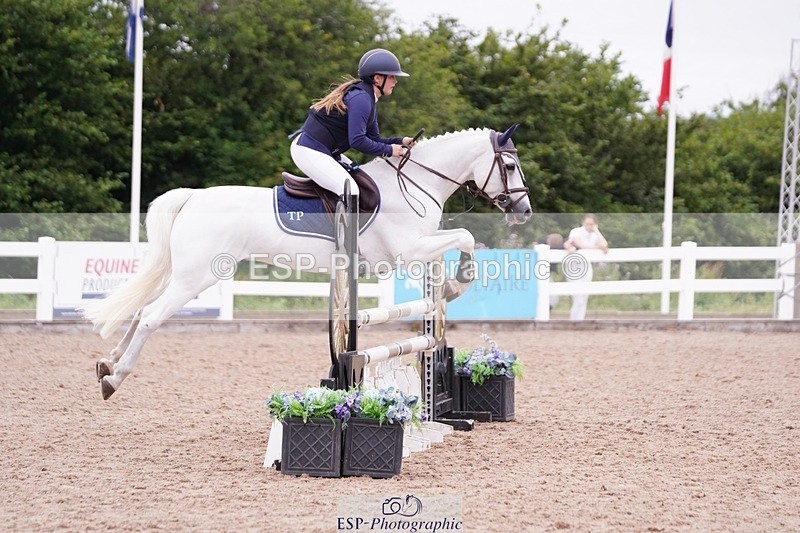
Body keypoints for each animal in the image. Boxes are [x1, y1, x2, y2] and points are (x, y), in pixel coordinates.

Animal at [82, 126, 532, 400]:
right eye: (509, 165)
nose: (524, 211)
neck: (413, 184)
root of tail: (193, 196)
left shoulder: (419, 248)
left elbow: (459, 242)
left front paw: (450, 286)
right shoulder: (408, 250)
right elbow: (467, 237)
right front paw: (458, 282)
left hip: (183, 272)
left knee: (141, 307)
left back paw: (108, 363)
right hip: (198, 276)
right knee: (152, 316)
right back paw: (116, 377)